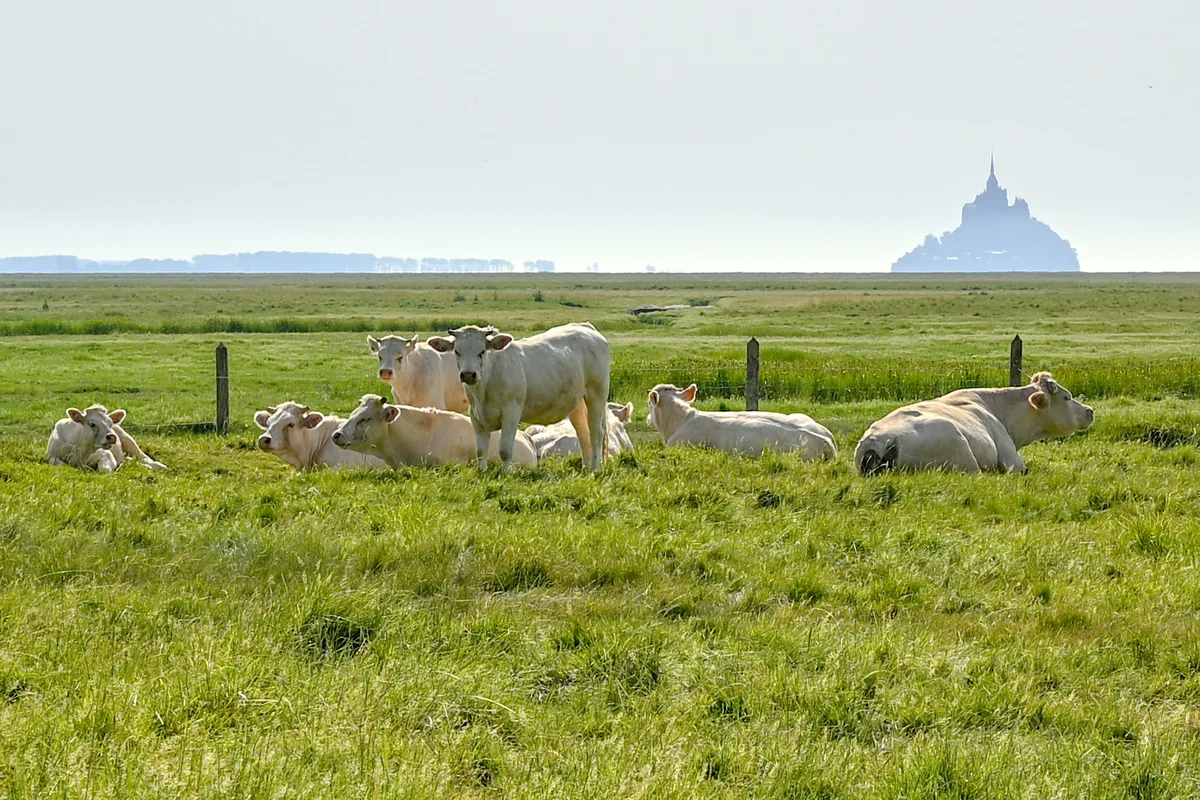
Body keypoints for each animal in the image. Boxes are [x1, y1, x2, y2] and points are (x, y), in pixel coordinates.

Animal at [426, 322, 611, 471]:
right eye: (457, 351)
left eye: (482, 351)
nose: (468, 374)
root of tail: (586, 327)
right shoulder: (476, 416)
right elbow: (480, 450)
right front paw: (482, 472)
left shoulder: (511, 412)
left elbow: (505, 449)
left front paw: (505, 473)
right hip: (577, 402)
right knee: (583, 432)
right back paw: (586, 466)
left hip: (597, 394)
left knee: (596, 432)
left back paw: (595, 468)